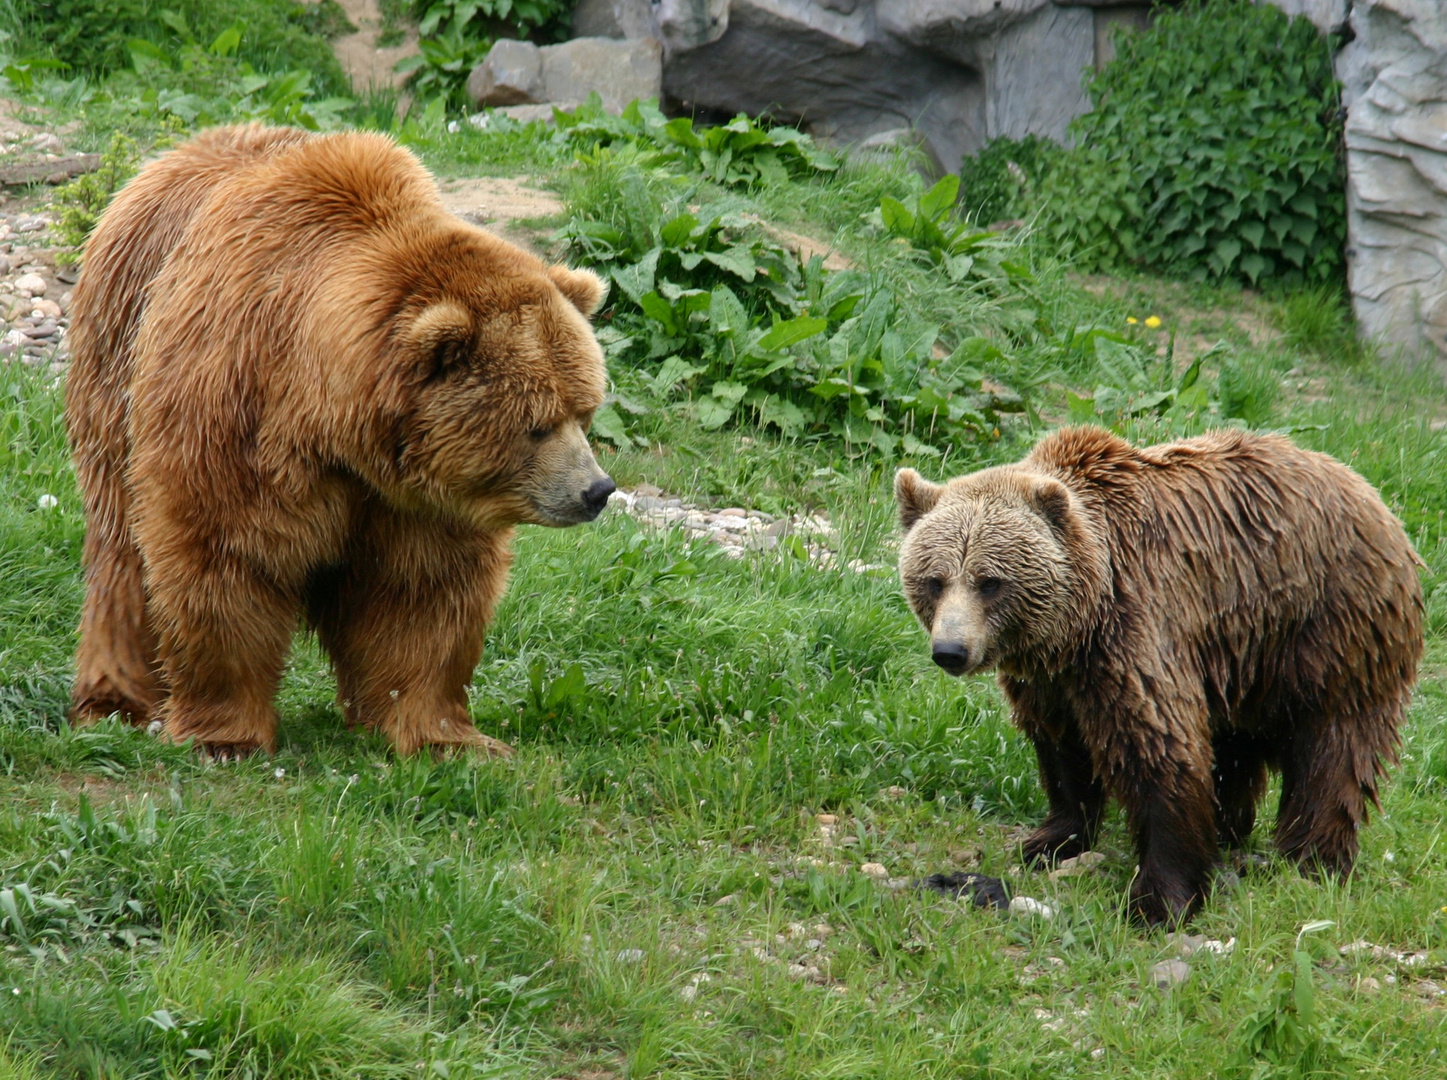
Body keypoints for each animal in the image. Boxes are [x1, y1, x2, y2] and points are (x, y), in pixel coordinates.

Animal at [69, 123, 610, 758]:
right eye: (537, 425)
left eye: (585, 410)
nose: (596, 490)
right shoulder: (236, 405)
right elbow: (225, 559)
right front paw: (226, 734)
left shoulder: (418, 498)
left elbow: (424, 594)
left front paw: (444, 736)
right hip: (117, 359)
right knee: (123, 550)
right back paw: (114, 701)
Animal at [891, 425, 1423, 920]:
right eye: (935, 580)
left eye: (990, 582)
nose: (951, 650)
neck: (1079, 620)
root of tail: (1371, 494)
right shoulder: (1052, 676)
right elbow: (1062, 746)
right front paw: (1048, 841)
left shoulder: (1137, 627)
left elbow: (1159, 749)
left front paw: (1159, 899)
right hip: (1238, 652)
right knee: (1234, 747)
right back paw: (1230, 831)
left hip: (1326, 627)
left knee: (1333, 748)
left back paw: (1312, 859)